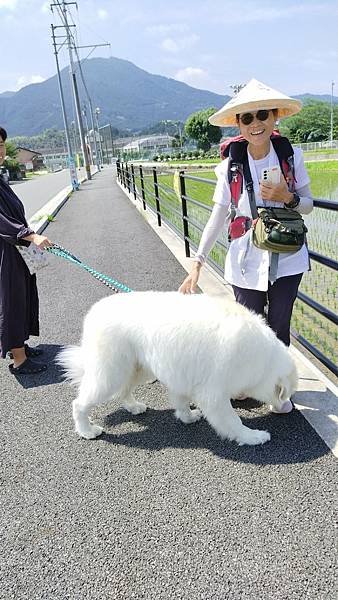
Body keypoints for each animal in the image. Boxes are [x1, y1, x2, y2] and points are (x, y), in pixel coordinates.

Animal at [58, 290, 298, 446]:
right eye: (285, 393)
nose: (284, 406)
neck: (262, 357)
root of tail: (93, 313)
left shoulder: (182, 377)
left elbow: (181, 402)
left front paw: (188, 417)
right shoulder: (214, 393)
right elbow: (233, 421)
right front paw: (253, 437)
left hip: (136, 368)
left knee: (124, 391)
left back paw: (133, 407)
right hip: (110, 374)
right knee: (79, 403)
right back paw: (86, 430)